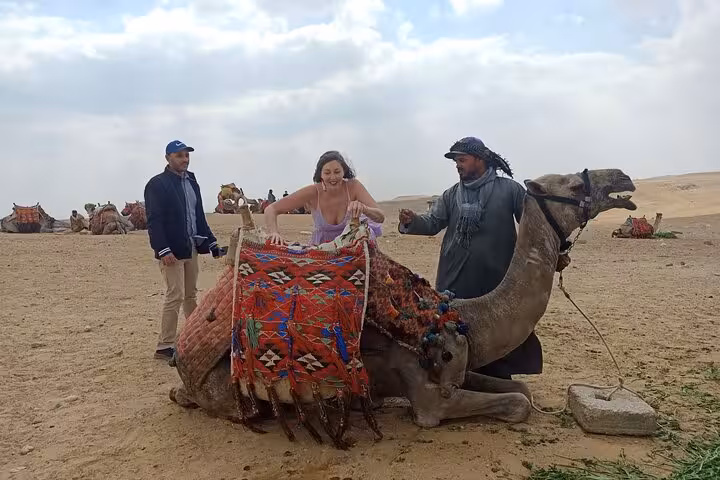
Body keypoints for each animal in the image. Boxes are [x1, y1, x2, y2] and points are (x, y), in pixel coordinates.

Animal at [168, 168, 637, 449]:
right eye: (574, 185)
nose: (624, 180)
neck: (462, 319)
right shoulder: (430, 398)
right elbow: (515, 404)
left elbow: (521, 389)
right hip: (232, 395)